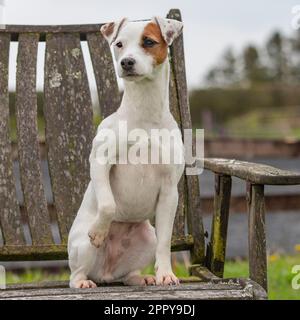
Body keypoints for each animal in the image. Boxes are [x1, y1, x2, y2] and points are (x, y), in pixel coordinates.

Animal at [68, 16, 185, 288]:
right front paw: (99, 231)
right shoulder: (99, 163)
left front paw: (166, 274)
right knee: (75, 273)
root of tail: (105, 274)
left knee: (128, 274)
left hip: (147, 238)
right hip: (81, 250)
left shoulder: (169, 190)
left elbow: (166, 241)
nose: (126, 62)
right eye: (119, 44)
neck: (146, 114)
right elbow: (108, 204)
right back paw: (82, 281)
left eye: (149, 42)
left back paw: (142, 278)